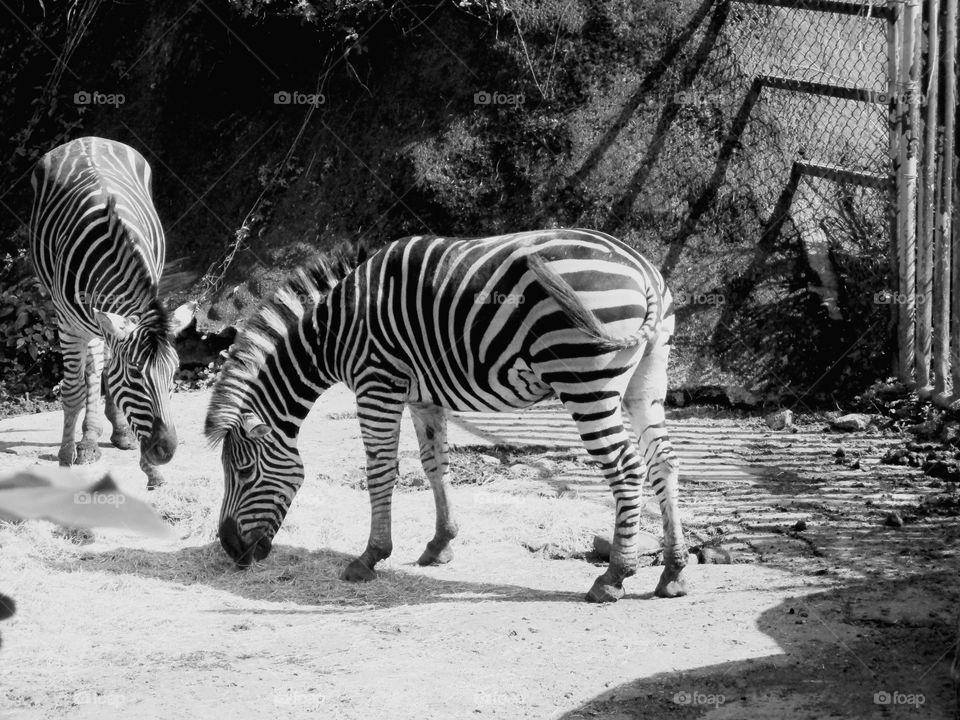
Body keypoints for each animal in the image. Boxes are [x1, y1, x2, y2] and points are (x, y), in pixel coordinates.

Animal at [29, 136, 196, 488]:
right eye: (135, 375)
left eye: (174, 373)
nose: (165, 453)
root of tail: (86, 139)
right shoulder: (67, 326)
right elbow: (74, 393)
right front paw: (65, 460)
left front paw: (151, 469)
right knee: (93, 368)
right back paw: (89, 441)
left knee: (102, 359)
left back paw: (116, 433)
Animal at [205, 229, 688, 602]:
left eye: (243, 472)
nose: (228, 548)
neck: (333, 333)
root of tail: (643, 270)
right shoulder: (422, 395)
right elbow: (434, 464)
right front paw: (440, 544)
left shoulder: (377, 383)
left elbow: (380, 471)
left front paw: (370, 557)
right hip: (646, 380)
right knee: (664, 462)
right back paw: (673, 572)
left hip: (585, 382)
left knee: (627, 469)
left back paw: (613, 577)